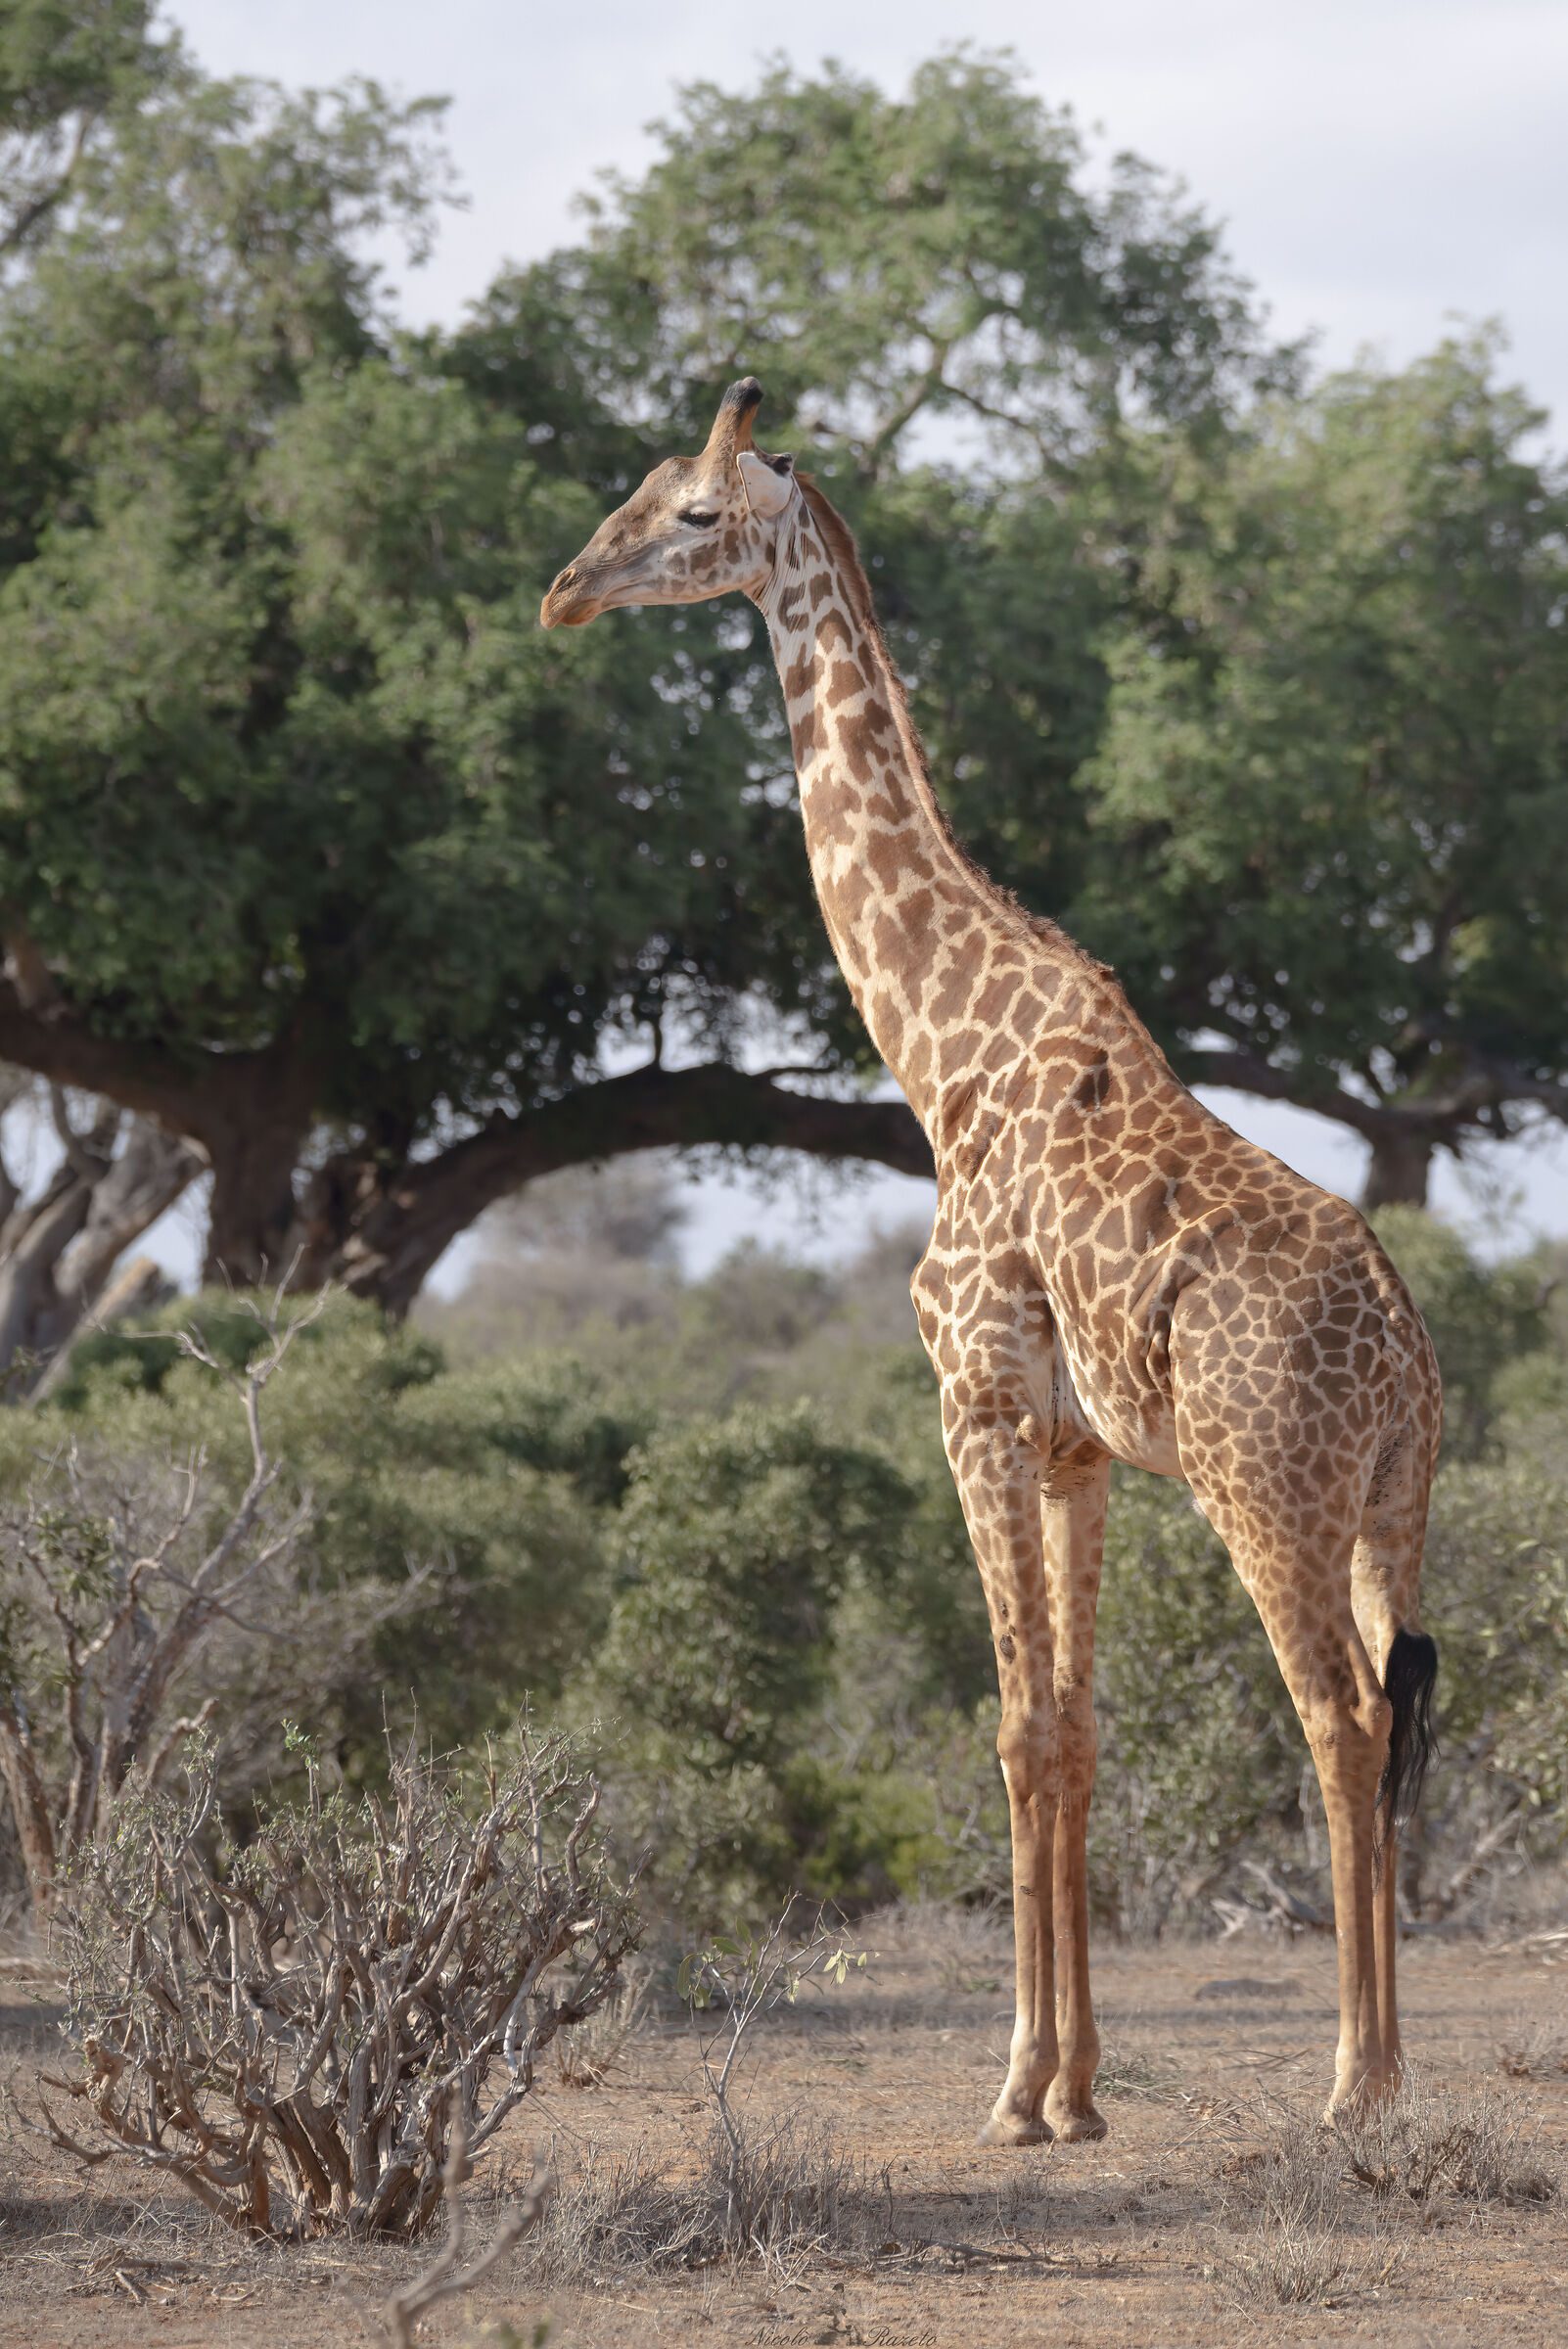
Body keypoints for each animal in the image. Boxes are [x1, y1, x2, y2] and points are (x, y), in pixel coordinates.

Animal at [541, 378, 1440, 2146]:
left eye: (691, 513)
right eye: (635, 492)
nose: (563, 594)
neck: (938, 1055)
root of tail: (1392, 1338)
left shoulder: (969, 1400)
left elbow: (1015, 1727)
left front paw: (1018, 2090)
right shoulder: (1076, 1444)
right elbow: (1075, 1729)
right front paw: (1077, 2092)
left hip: (1264, 1494)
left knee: (1341, 1717)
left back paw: (1353, 2085)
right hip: (1392, 1505)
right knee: (1401, 1711)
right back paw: (1369, 2074)